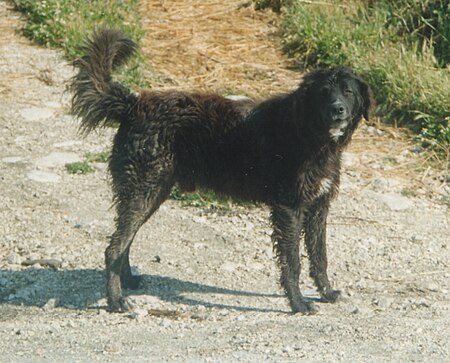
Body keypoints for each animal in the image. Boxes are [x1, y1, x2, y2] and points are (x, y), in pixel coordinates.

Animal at [70, 28, 370, 314]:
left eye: (348, 92)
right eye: (323, 93)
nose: (337, 110)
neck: (309, 131)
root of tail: (133, 105)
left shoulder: (319, 207)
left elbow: (320, 257)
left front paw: (327, 293)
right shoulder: (290, 208)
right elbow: (293, 262)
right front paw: (298, 304)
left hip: (151, 194)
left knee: (125, 241)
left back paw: (128, 281)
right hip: (141, 192)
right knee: (113, 248)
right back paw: (116, 300)